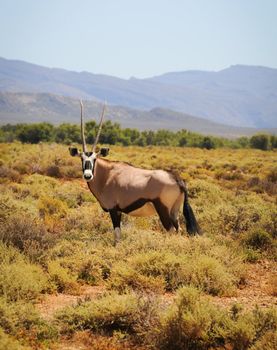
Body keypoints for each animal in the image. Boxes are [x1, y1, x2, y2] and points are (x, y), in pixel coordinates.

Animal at [68, 101, 199, 243]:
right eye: (81, 158)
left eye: (95, 159)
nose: (88, 175)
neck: (107, 175)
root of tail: (176, 178)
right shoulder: (118, 211)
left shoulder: (114, 209)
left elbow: (117, 235)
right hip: (174, 211)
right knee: (178, 229)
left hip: (163, 210)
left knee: (171, 230)